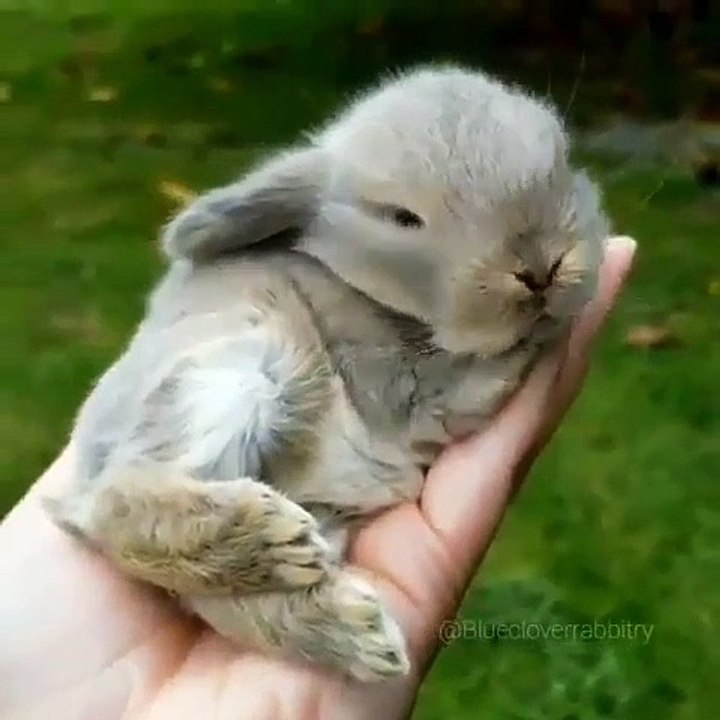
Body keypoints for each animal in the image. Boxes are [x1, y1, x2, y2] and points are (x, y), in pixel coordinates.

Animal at [45, 65, 609, 682]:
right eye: (402, 217)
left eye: (563, 165)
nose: (541, 268)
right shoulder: (405, 383)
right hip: (232, 376)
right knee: (114, 503)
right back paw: (276, 543)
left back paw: (362, 637)